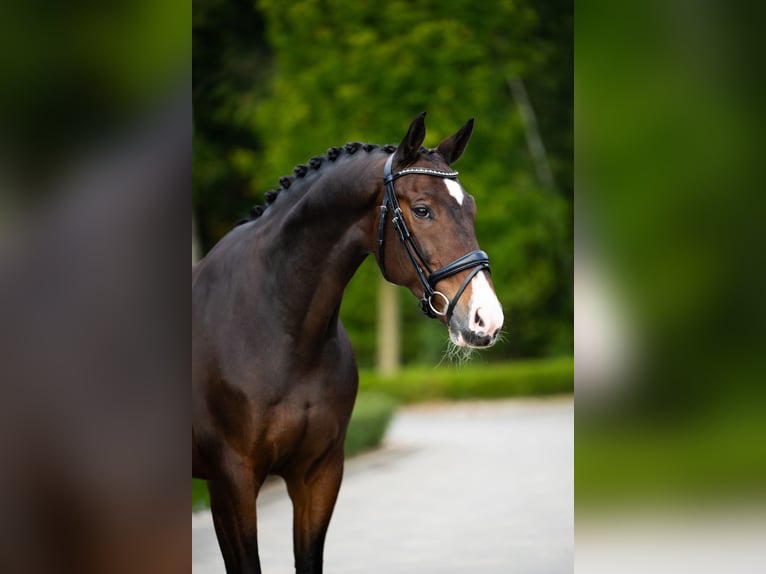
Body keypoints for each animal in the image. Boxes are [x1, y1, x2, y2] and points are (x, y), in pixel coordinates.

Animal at [192, 112, 504, 574]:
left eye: (472, 208)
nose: (487, 318)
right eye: (422, 210)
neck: (280, 331)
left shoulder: (319, 475)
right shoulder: (232, 483)